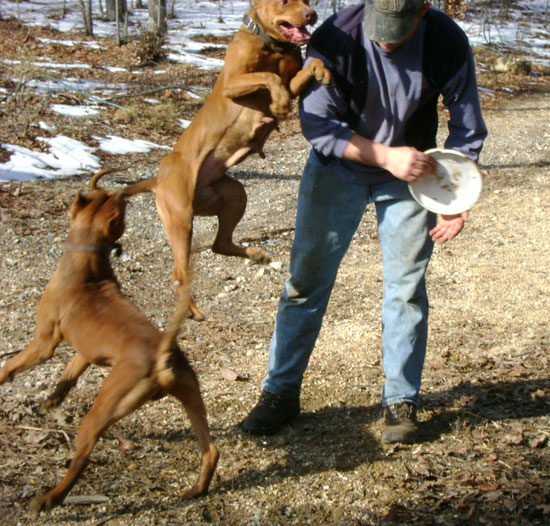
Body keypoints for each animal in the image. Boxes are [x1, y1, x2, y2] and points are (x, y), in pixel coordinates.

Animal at [0, 170, 220, 516]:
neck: (88, 267)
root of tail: (163, 356)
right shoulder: (84, 353)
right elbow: (67, 377)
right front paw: (51, 400)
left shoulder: (43, 344)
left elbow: (10, 366)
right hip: (191, 397)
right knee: (211, 450)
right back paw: (196, 490)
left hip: (105, 408)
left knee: (82, 457)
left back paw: (50, 498)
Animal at [134, 0, 332, 322]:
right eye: (285, 1)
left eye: (307, 1)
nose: (311, 15)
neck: (272, 46)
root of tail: (156, 179)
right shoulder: (233, 82)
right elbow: (268, 77)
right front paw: (278, 103)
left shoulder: (292, 82)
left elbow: (307, 67)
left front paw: (323, 70)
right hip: (180, 219)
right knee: (180, 273)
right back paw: (192, 310)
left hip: (233, 195)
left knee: (220, 244)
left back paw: (256, 255)